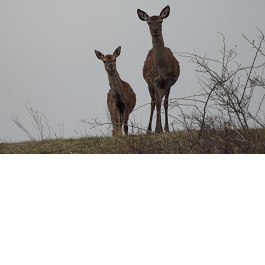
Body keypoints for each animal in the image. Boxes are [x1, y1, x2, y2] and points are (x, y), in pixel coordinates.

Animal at [136, 5, 179, 134]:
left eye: (161, 21)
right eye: (148, 22)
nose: (155, 30)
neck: (161, 68)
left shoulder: (168, 81)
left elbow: (165, 103)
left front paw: (166, 128)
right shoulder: (154, 80)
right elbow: (158, 103)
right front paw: (158, 129)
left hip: (162, 86)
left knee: (159, 100)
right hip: (149, 84)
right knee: (153, 102)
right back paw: (149, 129)